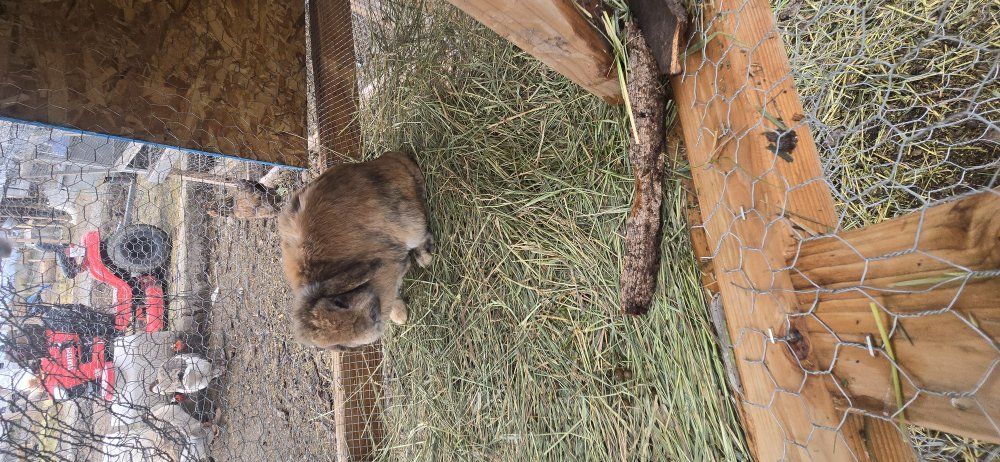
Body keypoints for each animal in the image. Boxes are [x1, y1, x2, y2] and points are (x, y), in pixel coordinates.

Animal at [278, 151, 433, 350]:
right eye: (341, 342)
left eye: (339, 303)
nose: (372, 319)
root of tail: (394, 158)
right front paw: (400, 316)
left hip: (410, 223)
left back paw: (425, 258)